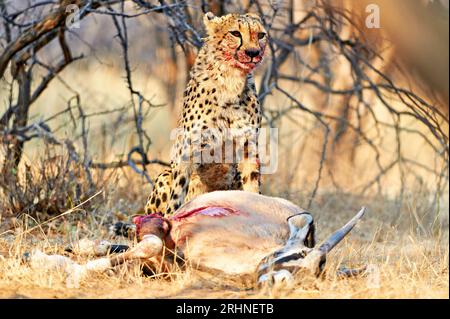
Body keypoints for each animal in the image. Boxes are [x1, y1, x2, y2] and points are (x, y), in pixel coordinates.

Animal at [147, 12, 268, 218]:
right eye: (235, 33)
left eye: (260, 35)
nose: (253, 53)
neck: (231, 81)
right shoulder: (186, 148)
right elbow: (177, 193)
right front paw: (169, 221)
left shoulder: (248, 146)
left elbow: (252, 187)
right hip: (164, 175)